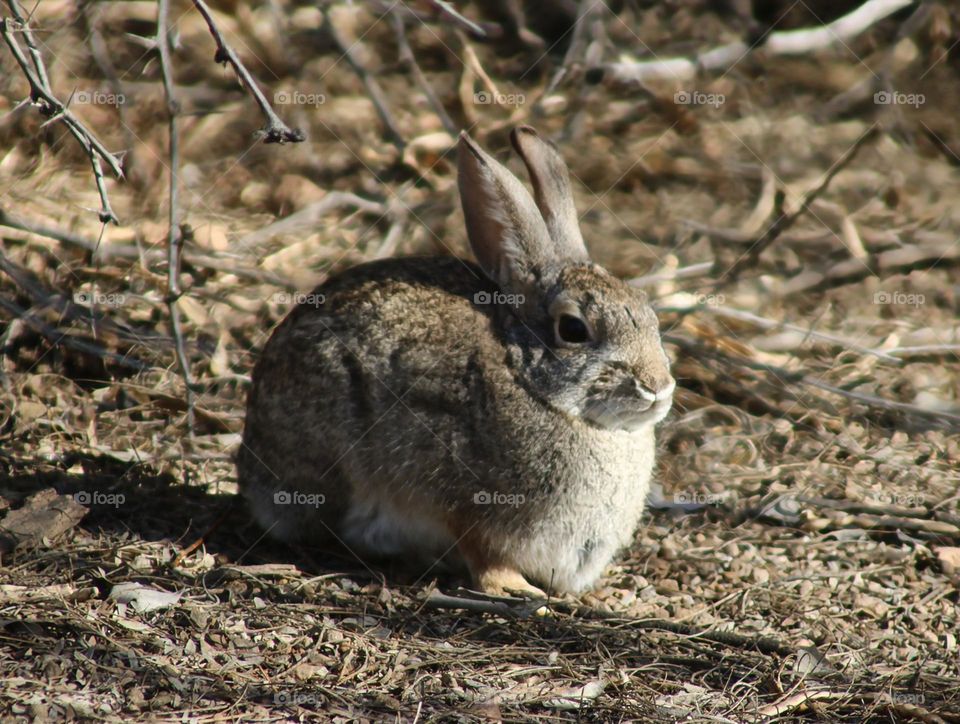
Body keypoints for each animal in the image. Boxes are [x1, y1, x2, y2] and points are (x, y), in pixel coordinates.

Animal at [236, 126, 675, 598]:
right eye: (573, 329)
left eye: (647, 311)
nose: (658, 386)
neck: (530, 381)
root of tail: (251, 465)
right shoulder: (466, 506)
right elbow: (483, 554)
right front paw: (515, 588)